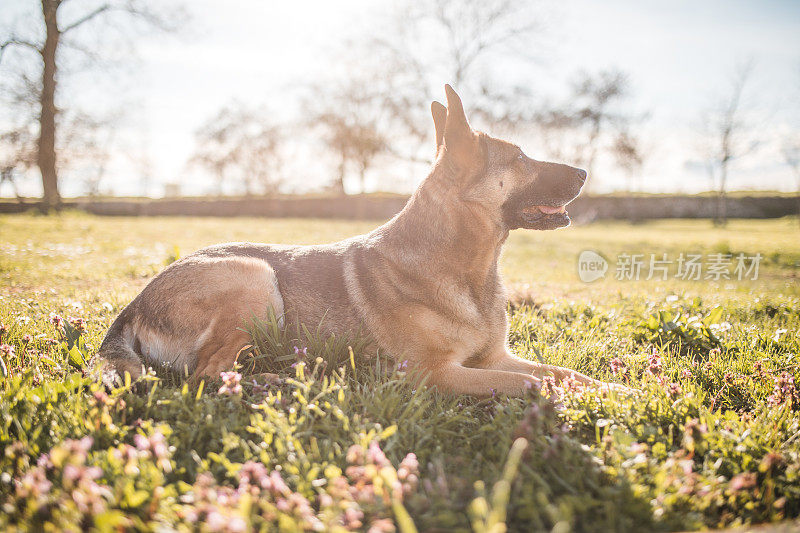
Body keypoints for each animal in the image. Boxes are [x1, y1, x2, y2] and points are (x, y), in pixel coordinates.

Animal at [97, 86, 616, 394]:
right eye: (522, 158)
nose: (585, 172)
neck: (468, 270)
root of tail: (132, 306)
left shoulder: (497, 358)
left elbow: (565, 373)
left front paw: (616, 388)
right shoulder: (437, 373)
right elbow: (539, 385)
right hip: (253, 276)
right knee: (206, 376)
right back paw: (283, 382)